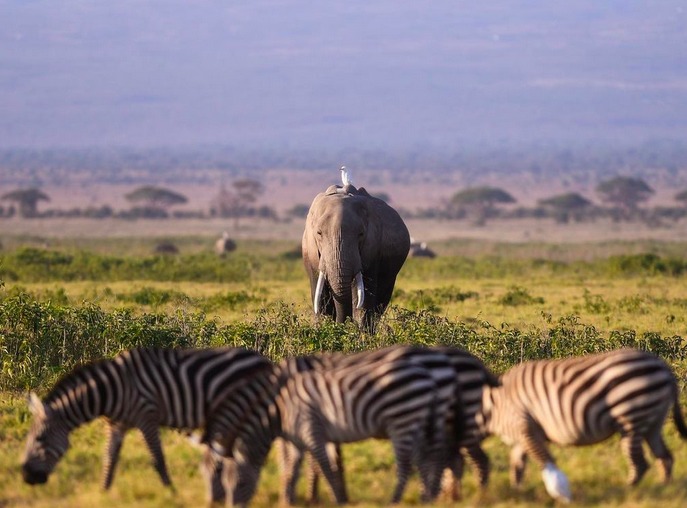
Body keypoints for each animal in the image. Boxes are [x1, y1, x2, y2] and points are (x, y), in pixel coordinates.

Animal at [20, 348, 272, 490]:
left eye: (40, 439)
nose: (26, 476)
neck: (114, 389)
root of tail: (262, 359)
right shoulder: (116, 424)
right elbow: (110, 459)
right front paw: (103, 492)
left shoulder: (147, 417)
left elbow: (158, 459)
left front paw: (172, 493)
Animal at [202, 344, 464, 506]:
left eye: (219, 475)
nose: (213, 503)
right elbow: (321, 459)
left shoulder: (310, 420)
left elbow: (311, 460)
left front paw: (314, 496)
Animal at [300, 182, 408, 330]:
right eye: (319, 233)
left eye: (361, 234)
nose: (343, 324)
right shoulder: (310, 253)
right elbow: (320, 299)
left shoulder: (372, 249)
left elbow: (363, 297)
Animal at [476, 348, 687, 502]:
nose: (481, 492)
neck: (492, 406)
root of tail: (663, 367)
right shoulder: (523, 435)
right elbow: (517, 466)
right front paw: (517, 494)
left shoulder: (525, 427)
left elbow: (544, 461)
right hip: (653, 421)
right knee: (665, 458)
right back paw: (663, 490)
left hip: (632, 418)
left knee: (640, 463)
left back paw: (628, 491)